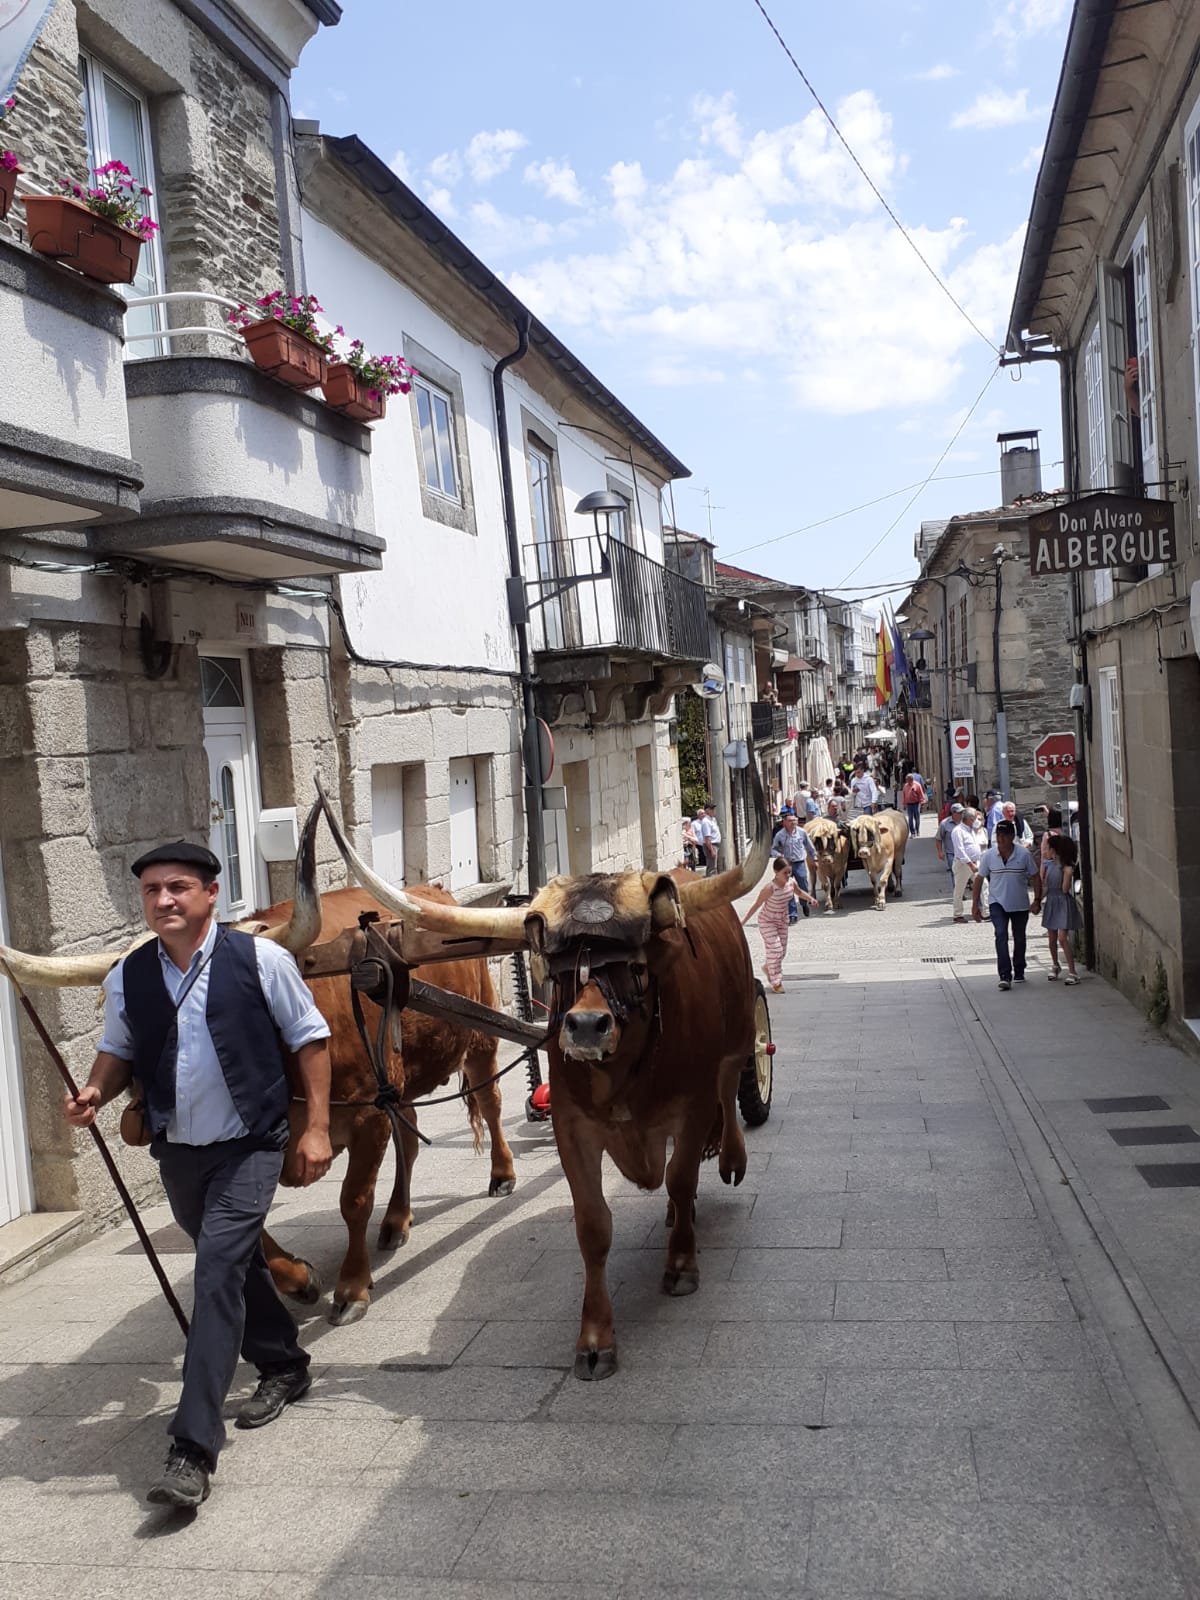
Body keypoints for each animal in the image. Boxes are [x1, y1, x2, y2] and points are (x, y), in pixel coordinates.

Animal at [0, 802, 514, 1325]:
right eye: (122, 1009)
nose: (140, 1116)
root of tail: (431, 893)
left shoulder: (368, 1113)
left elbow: (353, 1200)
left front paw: (351, 1287)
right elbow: (238, 1230)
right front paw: (301, 1279)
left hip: (479, 1036)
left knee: (490, 1101)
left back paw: (501, 1175)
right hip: (401, 1075)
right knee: (409, 1137)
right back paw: (396, 1220)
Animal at [317, 775, 773, 1381]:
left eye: (634, 963)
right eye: (557, 972)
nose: (584, 1026)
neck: (623, 1075)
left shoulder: (692, 1103)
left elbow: (680, 1176)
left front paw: (681, 1263)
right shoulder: (572, 1127)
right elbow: (593, 1226)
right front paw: (596, 1339)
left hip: (740, 1032)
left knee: (731, 1088)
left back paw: (730, 1161)